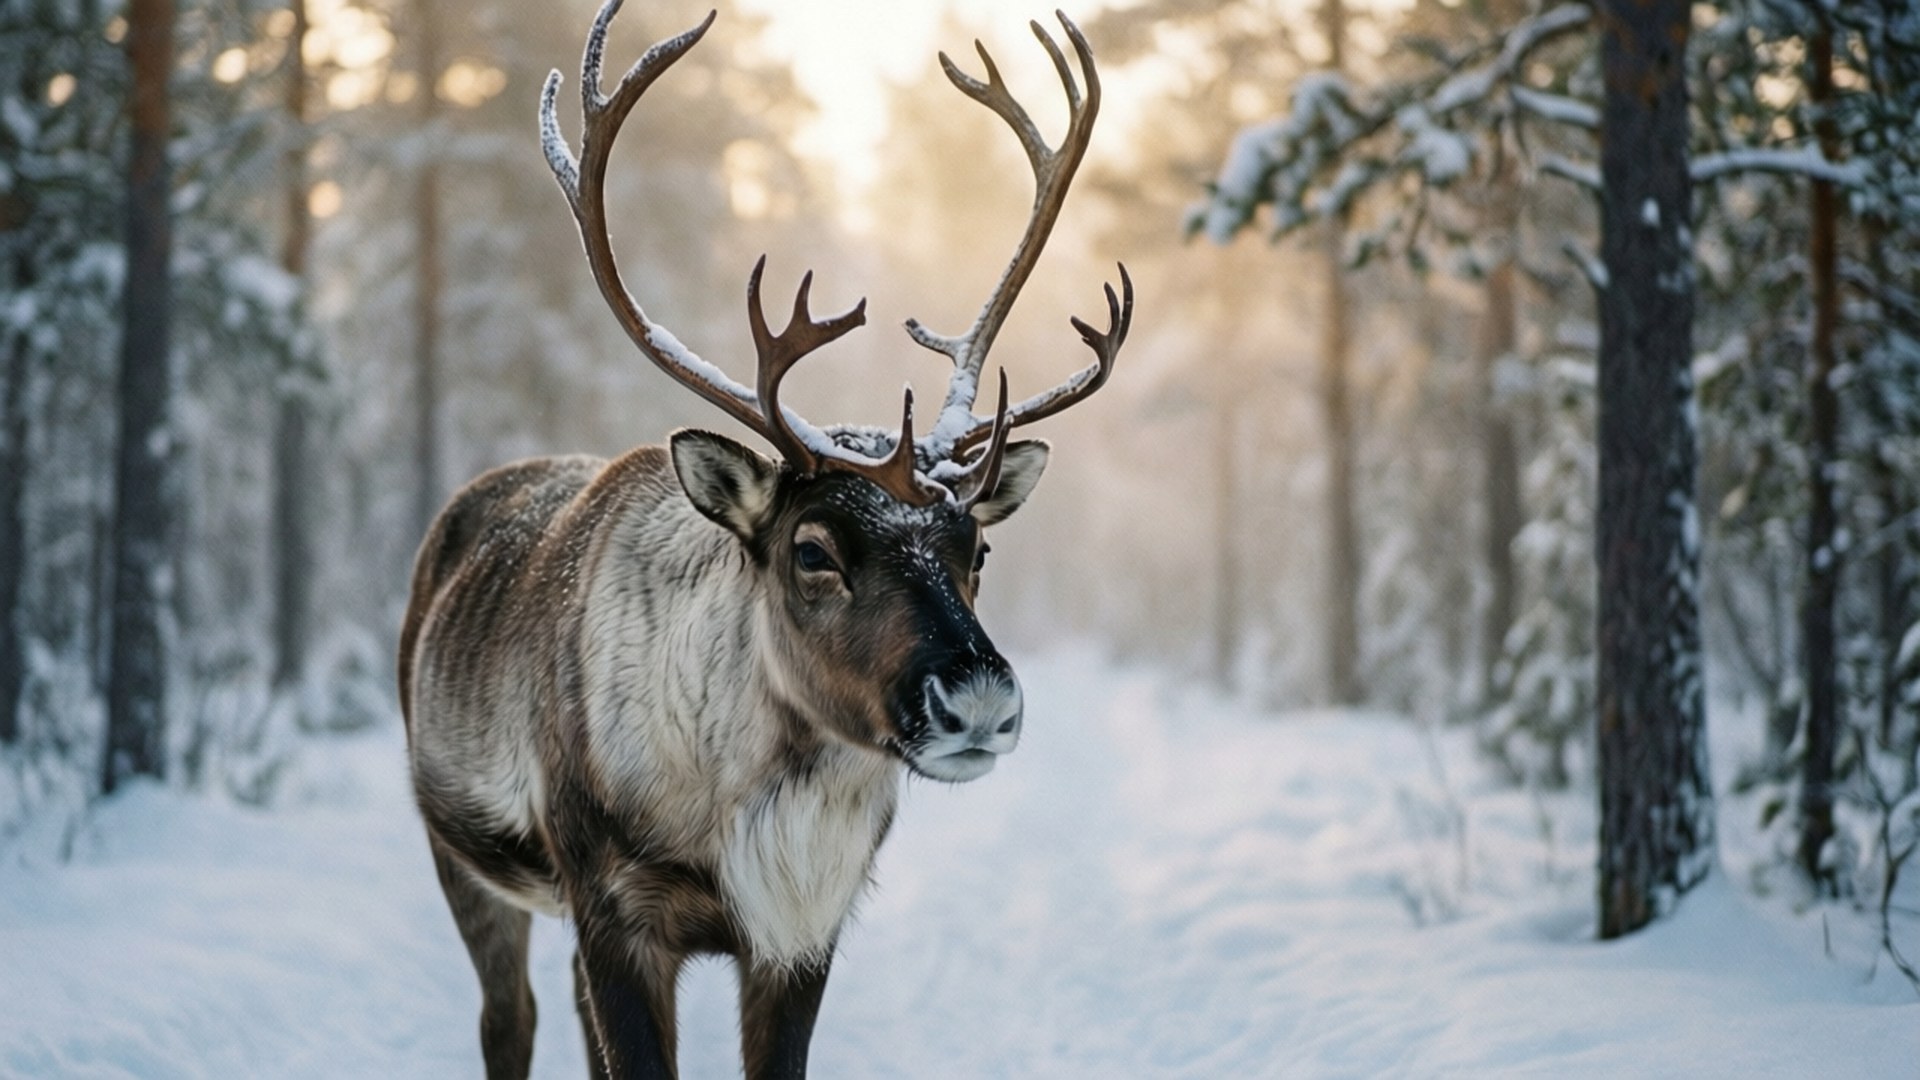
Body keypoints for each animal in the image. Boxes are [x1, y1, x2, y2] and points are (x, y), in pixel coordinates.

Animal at [398, 3, 1129, 1077]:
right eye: (812, 550)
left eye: (978, 551)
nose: (979, 701)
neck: (746, 813)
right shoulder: (614, 910)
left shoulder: (803, 932)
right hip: (464, 859)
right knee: (508, 1020)